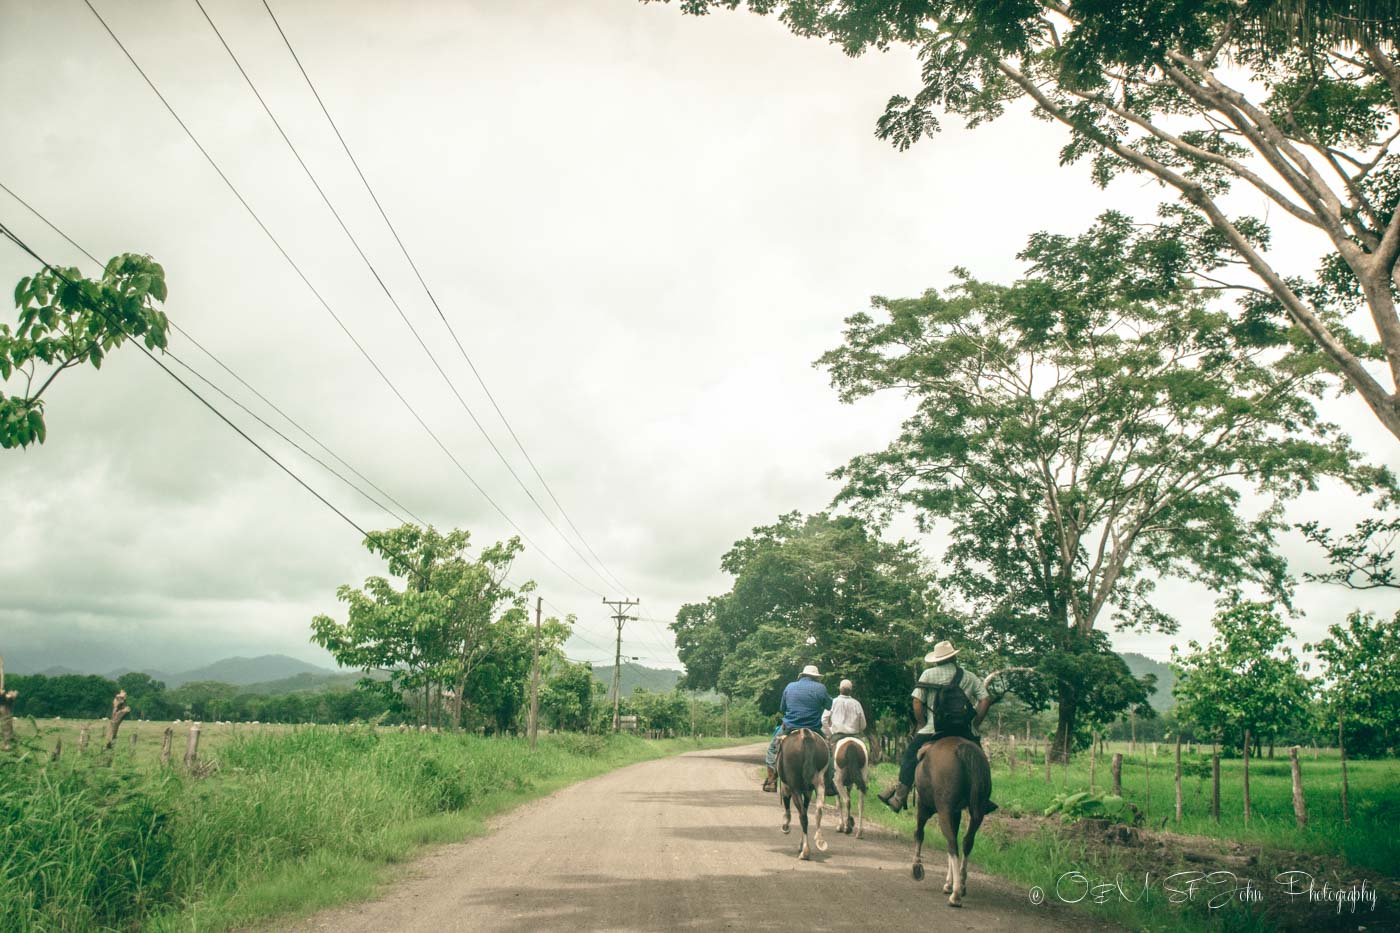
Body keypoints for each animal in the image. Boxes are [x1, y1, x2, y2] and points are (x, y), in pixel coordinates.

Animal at [778, 728, 828, 857]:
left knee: (803, 816)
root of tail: (805, 733)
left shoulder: (787, 786)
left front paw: (785, 826)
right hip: (819, 783)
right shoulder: (808, 792)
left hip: (795, 787)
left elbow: (788, 807)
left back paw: (805, 851)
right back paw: (819, 841)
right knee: (818, 810)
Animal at [907, 734, 996, 902]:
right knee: (966, 842)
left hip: (943, 810)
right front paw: (949, 882)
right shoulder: (956, 812)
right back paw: (961, 884)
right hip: (978, 813)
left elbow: (919, 834)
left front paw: (917, 867)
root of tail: (963, 749)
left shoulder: (923, 806)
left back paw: (956, 894)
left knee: (952, 843)